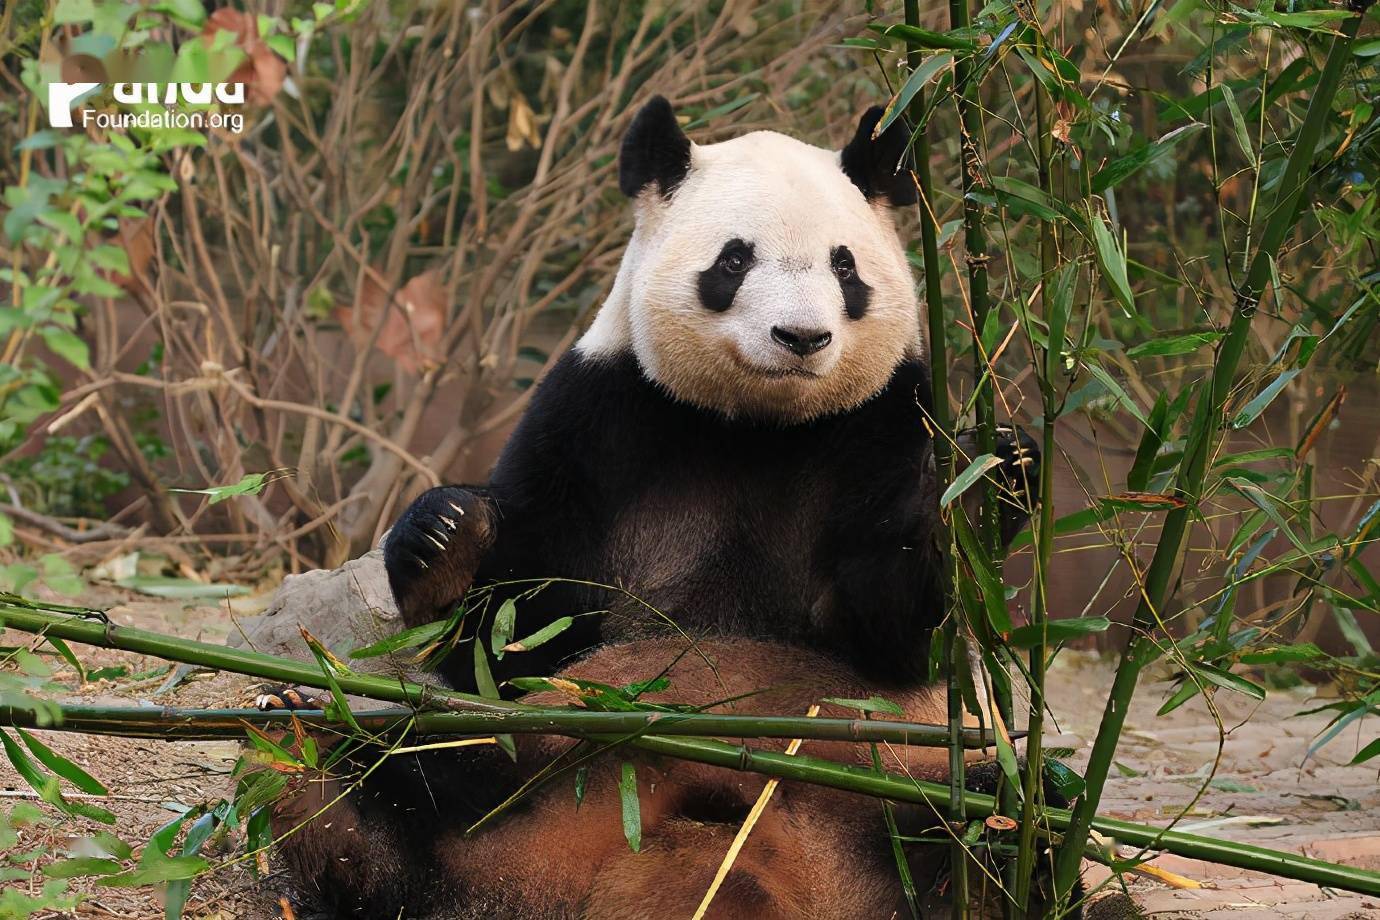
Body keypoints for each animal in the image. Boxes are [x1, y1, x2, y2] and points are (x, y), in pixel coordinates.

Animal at [266, 97, 1054, 915]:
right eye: (734, 261)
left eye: (845, 266)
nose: (802, 337)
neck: (759, 425)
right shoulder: (598, 416)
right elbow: (515, 636)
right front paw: (445, 538)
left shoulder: (887, 421)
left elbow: (897, 629)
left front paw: (986, 486)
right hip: (535, 751)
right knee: (412, 775)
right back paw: (315, 776)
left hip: (903, 775)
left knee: (1006, 818)